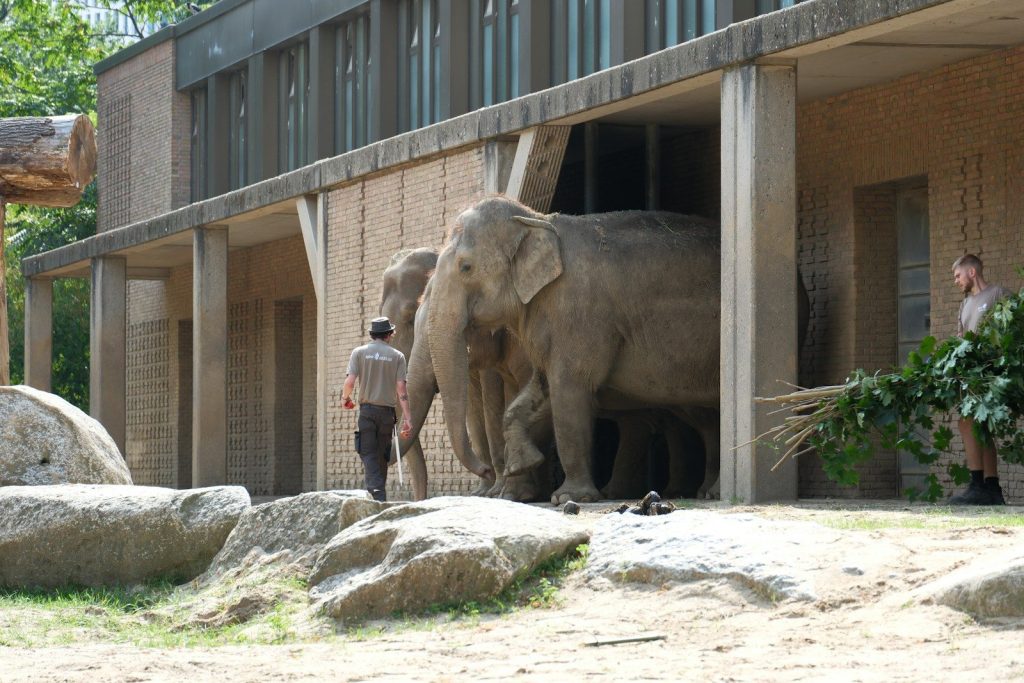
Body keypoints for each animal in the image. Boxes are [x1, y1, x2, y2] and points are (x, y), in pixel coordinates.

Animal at [426, 195, 799, 505]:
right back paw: (706, 491)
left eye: (465, 267)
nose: (487, 472)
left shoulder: (580, 314)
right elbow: (538, 393)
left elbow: (569, 394)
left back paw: (713, 492)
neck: (537, 221)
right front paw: (524, 468)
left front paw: (567, 498)